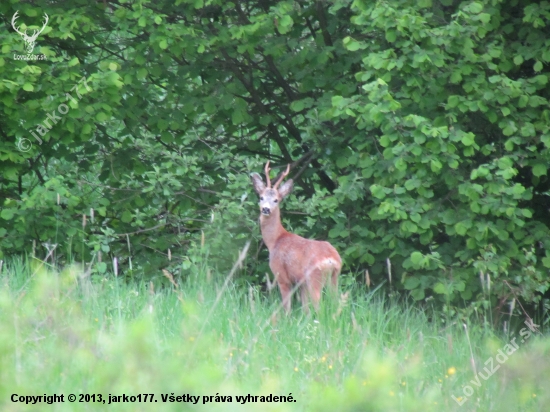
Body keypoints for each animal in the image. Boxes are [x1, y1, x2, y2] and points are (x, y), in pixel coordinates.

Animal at [252, 161, 342, 312]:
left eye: (276, 200)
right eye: (261, 197)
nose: (266, 209)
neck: (275, 240)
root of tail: (331, 260)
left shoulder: (282, 276)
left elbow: (287, 307)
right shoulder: (301, 282)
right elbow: (305, 308)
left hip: (314, 277)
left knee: (319, 306)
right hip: (334, 276)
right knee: (337, 303)